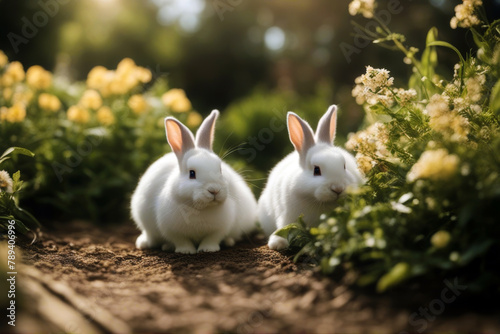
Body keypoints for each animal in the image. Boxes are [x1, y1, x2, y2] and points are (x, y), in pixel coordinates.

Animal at [131, 109, 256, 253]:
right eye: (192, 173)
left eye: (220, 169)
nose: (214, 190)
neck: (199, 208)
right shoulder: (171, 229)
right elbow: (181, 241)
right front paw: (186, 251)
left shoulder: (220, 228)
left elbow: (212, 238)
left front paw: (207, 249)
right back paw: (149, 244)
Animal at [258, 105, 364, 249]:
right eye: (316, 170)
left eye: (344, 166)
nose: (338, 188)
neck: (318, 202)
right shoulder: (286, 214)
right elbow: (284, 228)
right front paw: (277, 243)